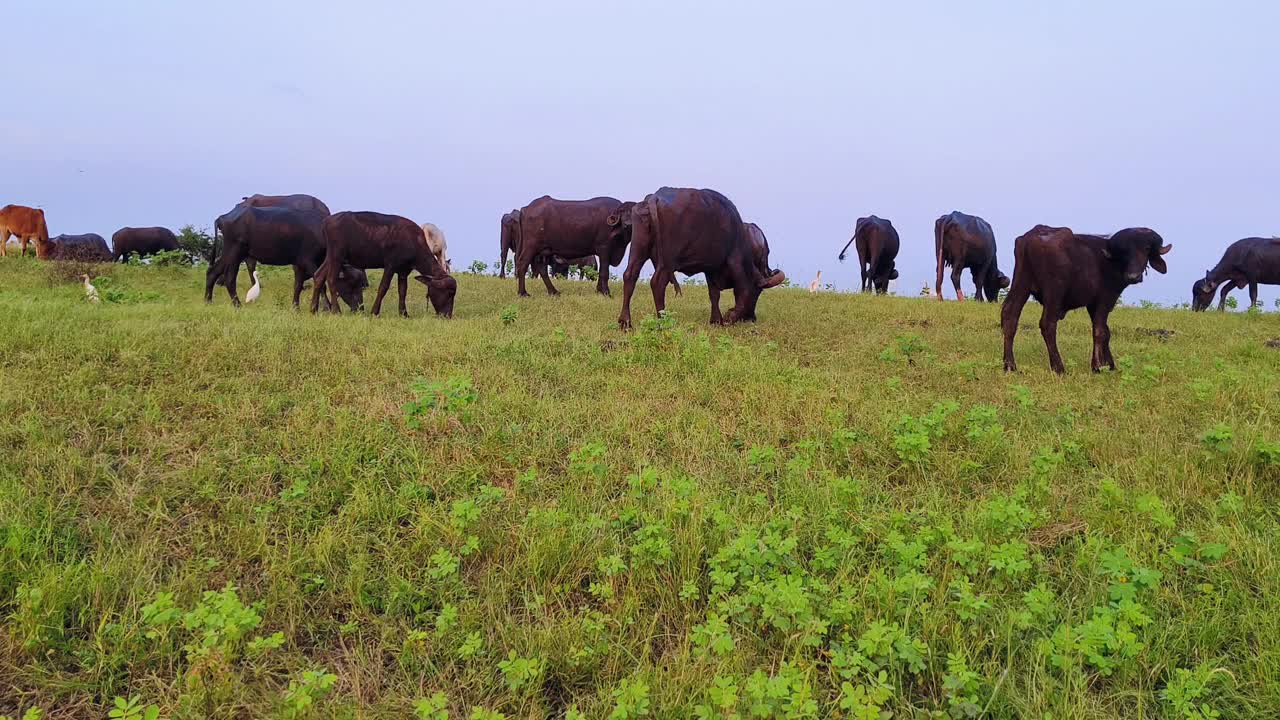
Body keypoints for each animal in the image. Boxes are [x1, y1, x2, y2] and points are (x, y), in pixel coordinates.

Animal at [204, 206, 366, 310]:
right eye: (352, 283)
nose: (360, 308)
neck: (321, 231)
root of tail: (224, 217)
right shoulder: (308, 262)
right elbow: (320, 283)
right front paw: (327, 307)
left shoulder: (299, 264)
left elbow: (298, 285)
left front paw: (295, 307)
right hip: (234, 252)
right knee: (229, 277)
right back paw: (237, 304)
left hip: (232, 253)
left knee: (213, 272)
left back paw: (208, 301)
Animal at [312, 210, 458, 316]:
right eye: (449, 293)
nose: (447, 315)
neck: (414, 242)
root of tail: (327, 221)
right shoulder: (390, 265)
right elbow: (383, 287)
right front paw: (374, 312)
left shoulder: (403, 271)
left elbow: (402, 290)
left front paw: (404, 314)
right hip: (336, 255)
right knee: (331, 279)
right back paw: (336, 311)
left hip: (331, 257)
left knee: (318, 276)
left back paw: (313, 309)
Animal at [614, 185, 783, 330]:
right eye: (757, 291)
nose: (751, 318)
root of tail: (654, 198)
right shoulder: (733, 260)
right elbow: (739, 289)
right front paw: (729, 316)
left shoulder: (711, 268)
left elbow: (714, 294)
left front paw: (716, 320)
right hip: (667, 260)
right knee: (657, 283)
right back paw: (663, 321)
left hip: (638, 249)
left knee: (630, 276)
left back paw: (625, 322)